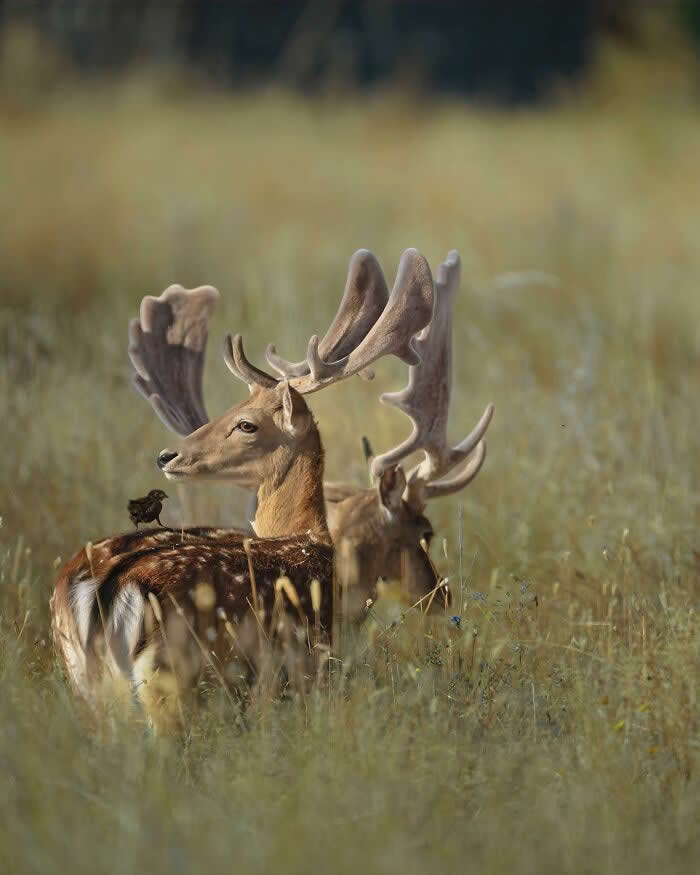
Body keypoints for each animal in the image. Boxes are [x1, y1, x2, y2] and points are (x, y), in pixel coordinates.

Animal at [50, 248, 493, 730]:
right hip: (171, 681)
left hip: (85, 684)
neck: (317, 541)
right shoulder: (309, 669)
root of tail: (102, 589)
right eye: (424, 531)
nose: (441, 595)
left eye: (243, 420)